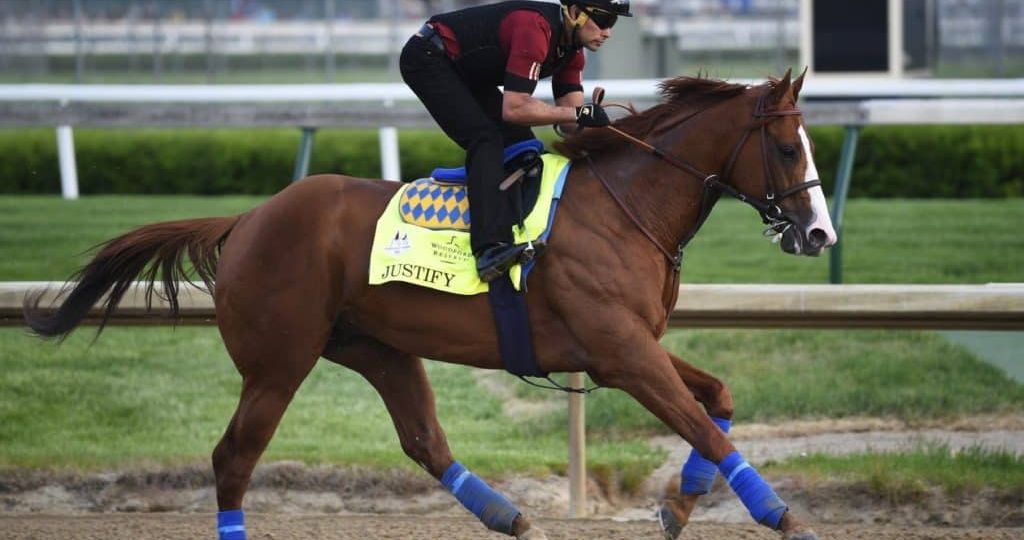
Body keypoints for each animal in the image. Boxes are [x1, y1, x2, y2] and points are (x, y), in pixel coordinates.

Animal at [24, 70, 835, 540]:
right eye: (788, 149)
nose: (820, 233)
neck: (622, 204)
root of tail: (248, 218)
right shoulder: (620, 353)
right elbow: (705, 428)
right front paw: (782, 515)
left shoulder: (630, 345)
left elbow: (717, 402)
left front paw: (678, 506)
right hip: (277, 362)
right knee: (233, 457)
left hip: (375, 347)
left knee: (424, 441)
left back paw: (512, 517)